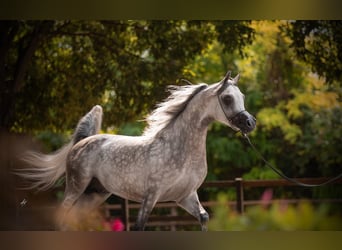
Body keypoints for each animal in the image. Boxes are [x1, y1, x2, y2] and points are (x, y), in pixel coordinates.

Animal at [18, 70, 254, 230]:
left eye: (242, 96)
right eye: (227, 98)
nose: (250, 123)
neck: (180, 150)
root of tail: (81, 142)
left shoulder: (185, 196)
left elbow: (204, 218)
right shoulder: (151, 195)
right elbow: (140, 226)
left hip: (95, 194)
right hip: (76, 187)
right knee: (62, 217)